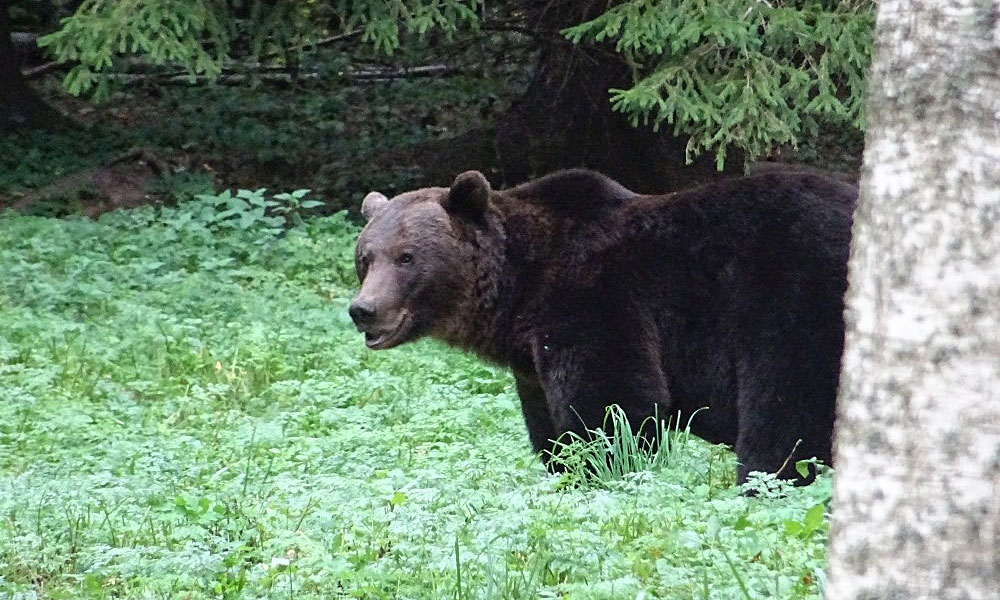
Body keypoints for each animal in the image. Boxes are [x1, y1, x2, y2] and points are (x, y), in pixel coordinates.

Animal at [350, 168, 852, 482]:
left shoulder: (594, 300)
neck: (520, 284)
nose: (363, 310)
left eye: (406, 257)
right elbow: (550, 430)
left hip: (793, 305)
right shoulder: (532, 358)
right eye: (366, 257)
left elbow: (613, 402)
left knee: (785, 415)